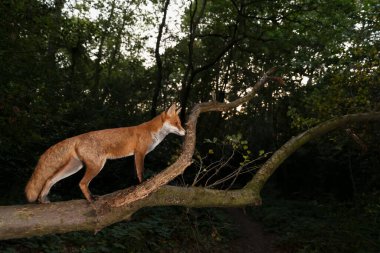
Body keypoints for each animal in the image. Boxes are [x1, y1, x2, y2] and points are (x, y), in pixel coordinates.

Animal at [24, 104, 185, 203]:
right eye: (177, 123)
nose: (185, 132)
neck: (152, 131)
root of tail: (76, 137)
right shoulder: (139, 153)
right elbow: (140, 172)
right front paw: (143, 184)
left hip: (74, 167)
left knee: (49, 179)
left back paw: (43, 199)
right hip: (97, 165)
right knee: (81, 183)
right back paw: (90, 199)